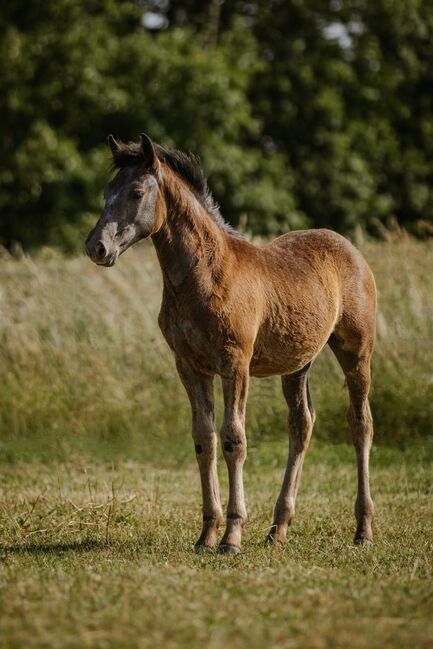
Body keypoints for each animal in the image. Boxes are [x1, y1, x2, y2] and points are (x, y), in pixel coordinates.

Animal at [84, 134, 374, 556]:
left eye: (137, 192)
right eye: (107, 192)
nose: (97, 247)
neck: (204, 275)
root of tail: (348, 247)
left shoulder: (234, 363)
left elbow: (233, 438)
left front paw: (232, 536)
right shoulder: (189, 365)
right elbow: (203, 439)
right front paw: (206, 534)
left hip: (357, 350)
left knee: (360, 423)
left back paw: (363, 530)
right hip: (297, 363)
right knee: (301, 424)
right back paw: (278, 529)